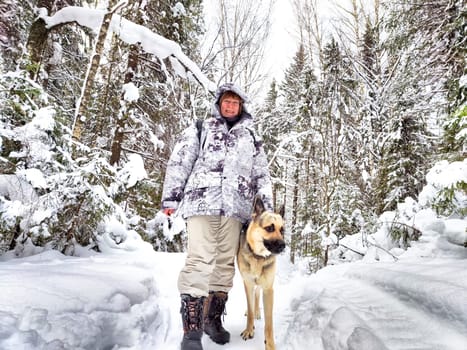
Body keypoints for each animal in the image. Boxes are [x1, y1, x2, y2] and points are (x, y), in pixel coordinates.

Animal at [238, 196, 286, 348]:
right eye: (270, 228)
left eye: (282, 230)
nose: (284, 245)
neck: (258, 257)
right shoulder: (247, 283)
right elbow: (250, 309)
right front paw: (249, 329)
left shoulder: (268, 290)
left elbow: (269, 324)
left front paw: (270, 345)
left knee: (257, 294)